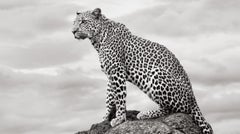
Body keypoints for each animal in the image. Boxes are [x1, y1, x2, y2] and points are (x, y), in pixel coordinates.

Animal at [72, 7, 213, 133]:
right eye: (74, 22)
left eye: (83, 21)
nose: (73, 31)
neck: (98, 40)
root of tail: (194, 100)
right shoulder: (110, 74)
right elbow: (109, 97)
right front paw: (104, 118)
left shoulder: (117, 71)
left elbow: (120, 97)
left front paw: (119, 119)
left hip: (157, 74)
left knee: (177, 110)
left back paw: (145, 114)